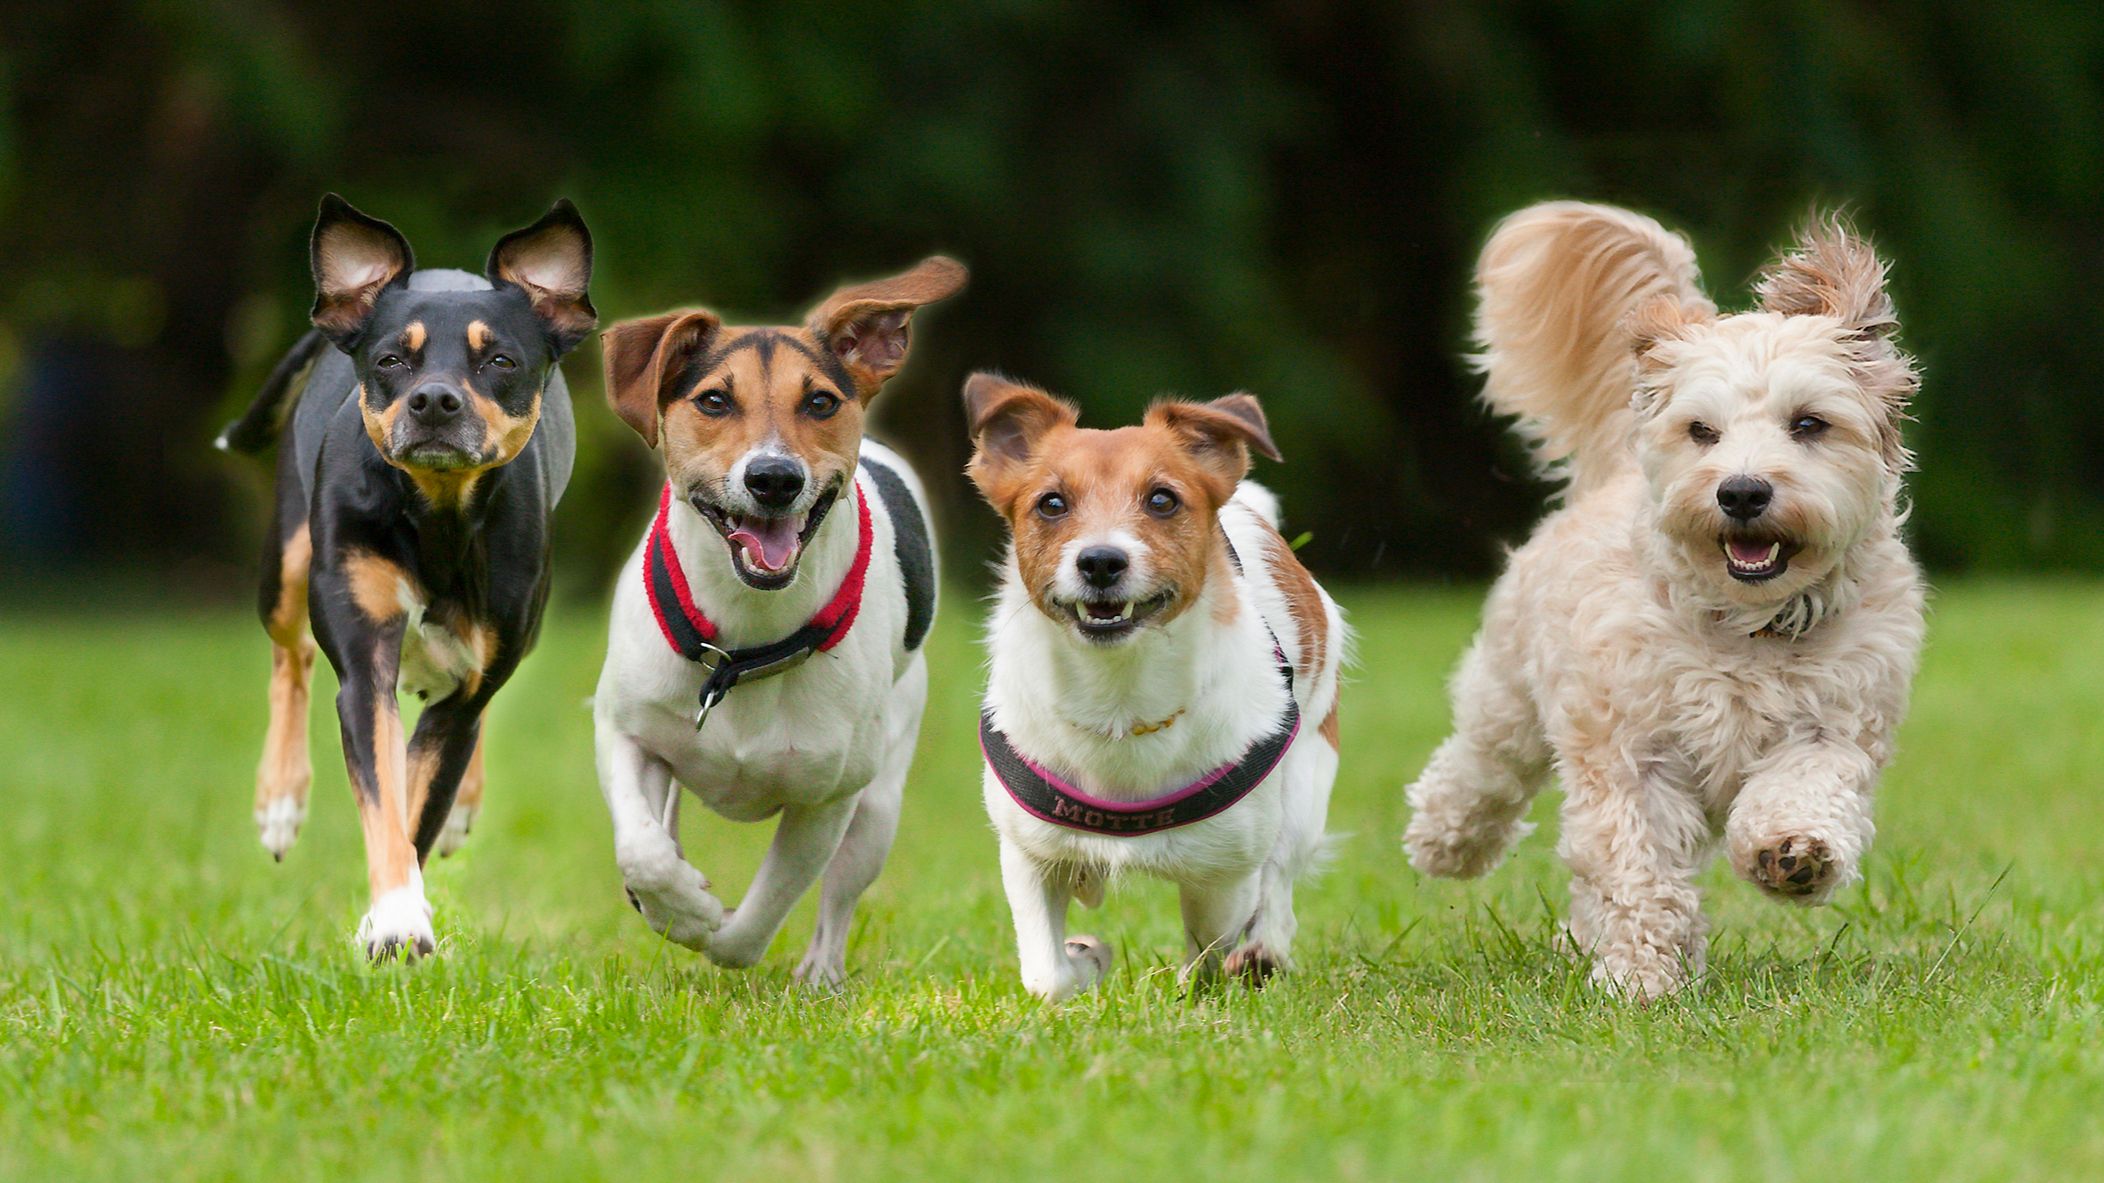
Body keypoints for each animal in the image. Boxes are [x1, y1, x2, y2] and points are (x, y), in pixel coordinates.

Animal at [221, 191, 597, 947]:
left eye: (501, 360)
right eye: (393, 358)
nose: (434, 400)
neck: (437, 517)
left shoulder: (468, 686)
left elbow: (422, 802)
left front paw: (397, 912)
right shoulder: (365, 661)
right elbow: (386, 797)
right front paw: (395, 916)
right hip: (287, 560)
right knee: (289, 658)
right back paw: (280, 798)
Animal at [584, 257, 963, 985]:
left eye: (819, 402)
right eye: (713, 401)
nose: (774, 477)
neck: (744, 642)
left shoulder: (828, 797)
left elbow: (759, 916)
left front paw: (711, 925)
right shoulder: (625, 729)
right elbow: (642, 848)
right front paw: (679, 902)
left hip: (879, 798)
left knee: (840, 893)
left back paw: (820, 974)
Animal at [963, 374, 1338, 993]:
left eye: (1162, 499)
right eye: (1051, 504)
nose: (1100, 561)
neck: (1119, 696)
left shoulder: (1223, 873)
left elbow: (1209, 944)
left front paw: (1195, 980)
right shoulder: (1028, 854)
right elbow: (1047, 976)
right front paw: (1085, 960)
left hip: (1306, 781)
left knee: (1280, 878)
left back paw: (1263, 950)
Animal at [1397, 202, 1927, 993]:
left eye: (1809, 423)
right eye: (1701, 430)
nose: (1742, 490)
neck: (1746, 630)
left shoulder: (1836, 723)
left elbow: (1805, 786)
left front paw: (1791, 851)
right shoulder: (1629, 752)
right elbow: (1635, 866)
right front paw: (1640, 978)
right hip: (1511, 693)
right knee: (1482, 765)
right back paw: (1446, 839)